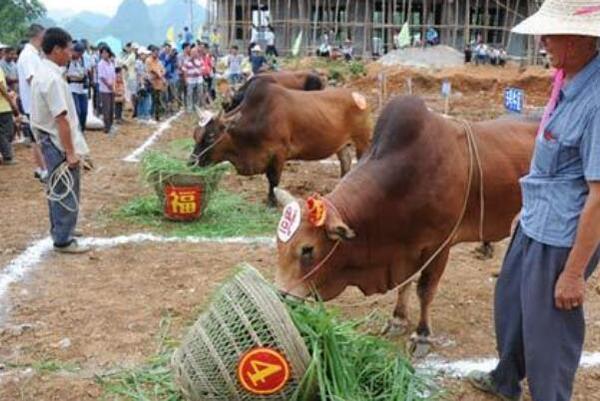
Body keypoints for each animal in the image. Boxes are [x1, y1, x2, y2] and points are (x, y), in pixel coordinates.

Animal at [191, 77, 370, 205]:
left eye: (211, 136)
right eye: (195, 134)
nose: (191, 162)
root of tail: (358, 95)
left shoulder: (278, 153)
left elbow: (273, 179)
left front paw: (272, 201)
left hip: (362, 140)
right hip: (342, 145)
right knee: (345, 162)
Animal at [274, 95, 536, 354]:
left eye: (307, 249)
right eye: (278, 245)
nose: (281, 297)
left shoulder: (439, 245)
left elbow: (425, 290)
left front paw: (422, 335)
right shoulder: (405, 249)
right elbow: (404, 284)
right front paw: (398, 319)